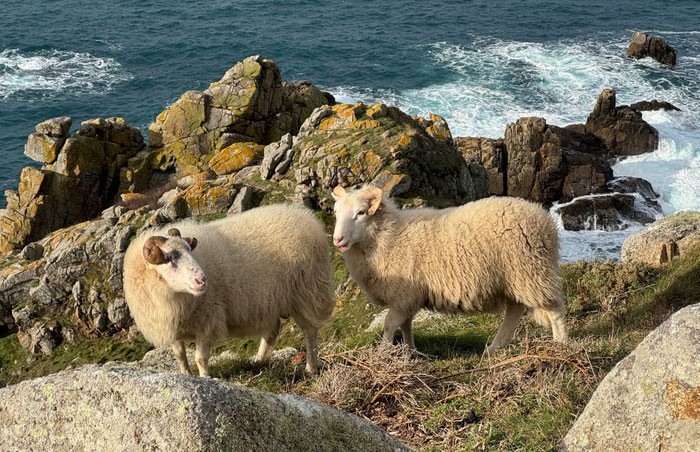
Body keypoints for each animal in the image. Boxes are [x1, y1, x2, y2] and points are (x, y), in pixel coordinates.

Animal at [123, 204, 334, 376]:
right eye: (168, 259)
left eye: (189, 251)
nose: (202, 280)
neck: (171, 294)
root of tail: (306, 217)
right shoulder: (172, 325)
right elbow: (180, 356)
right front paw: (187, 376)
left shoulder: (207, 321)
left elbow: (200, 358)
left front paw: (206, 379)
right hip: (270, 301)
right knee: (273, 330)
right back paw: (259, 360)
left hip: (306, 292)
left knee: (309, 331)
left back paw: (311, 368)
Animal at [331, 186, 567, 354]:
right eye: (335, 213)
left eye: (361, 212)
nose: (337, 240)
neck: (389, 236)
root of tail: (545, 219)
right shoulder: (408, 298)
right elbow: (406, 325)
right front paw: (410, 351)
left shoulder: (403, 296)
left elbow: (389, 325)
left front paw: (383, 353)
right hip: (515, 277)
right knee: (515, 310)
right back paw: (494, 348)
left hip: (531, 270)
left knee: (554, 308)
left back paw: (561, 344)